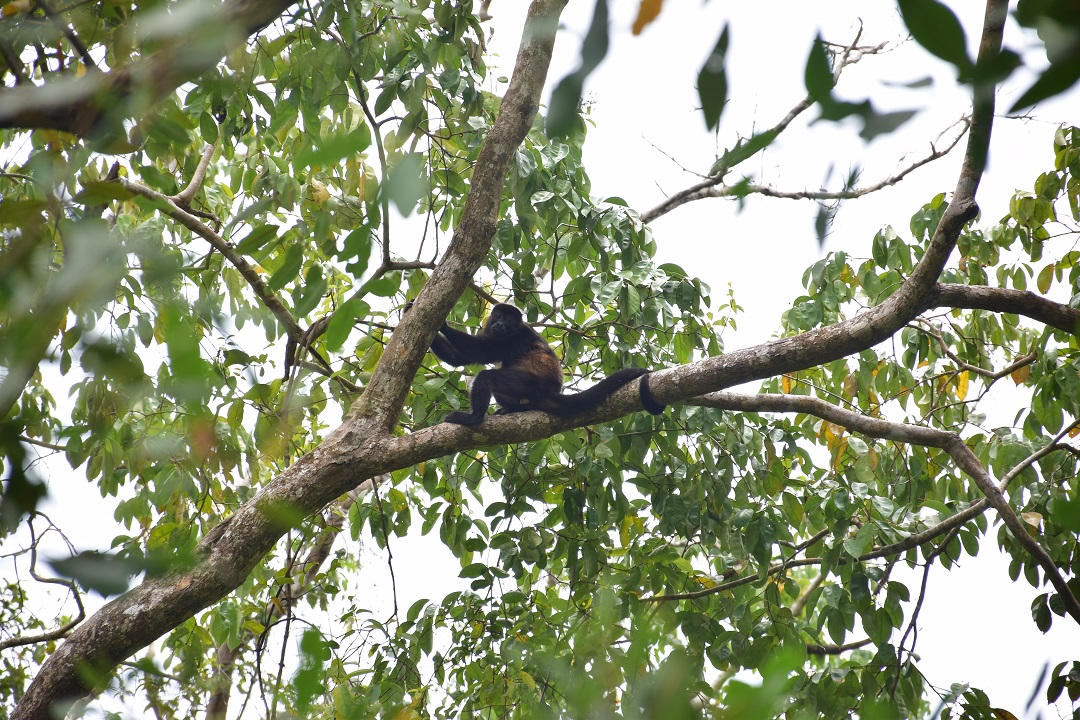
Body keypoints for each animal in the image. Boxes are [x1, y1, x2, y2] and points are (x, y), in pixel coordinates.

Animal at [420, 303, 664, 426]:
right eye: (498, 316)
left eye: (509, 320)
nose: (500, 324)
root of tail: (550, 391)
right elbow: (458, 358)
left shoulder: (512, 339)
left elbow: (477, 351)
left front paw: (442, 324)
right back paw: (511, 409)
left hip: (528, 384)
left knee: (488, 377)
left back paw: (474, 418)